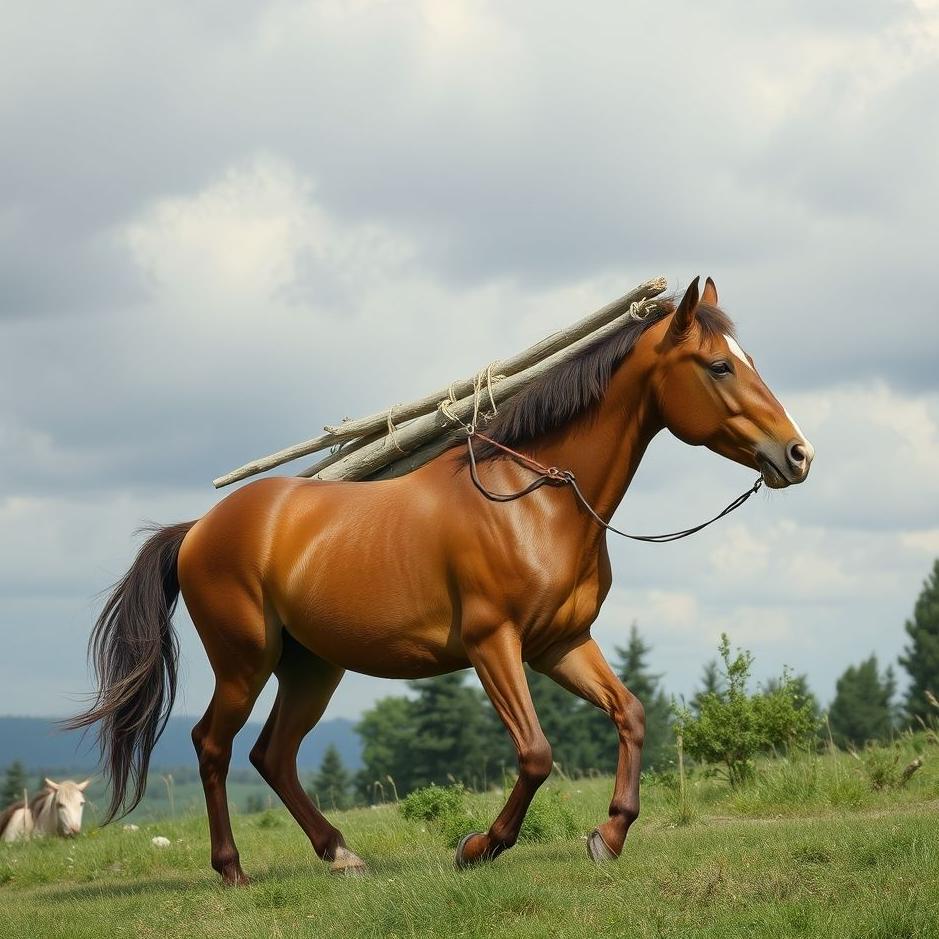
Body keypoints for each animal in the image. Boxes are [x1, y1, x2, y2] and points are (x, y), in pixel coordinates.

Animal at [68, 276, 813, 883]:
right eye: (719, 365)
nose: (797, 453)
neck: (534, 500)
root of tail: (197, 529)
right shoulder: (493, 645)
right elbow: (536, 753)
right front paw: (479, 846)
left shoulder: (561, 644)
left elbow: (629, 714)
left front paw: (608, 833)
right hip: (245, 663)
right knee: (213, 746)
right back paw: (232, 869)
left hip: (311, 667)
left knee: (272, 755)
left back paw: (341, 854)